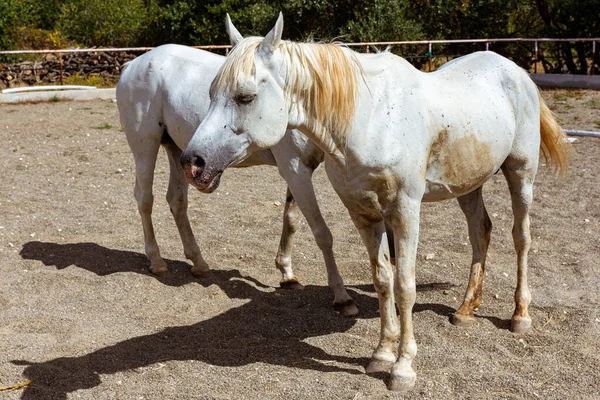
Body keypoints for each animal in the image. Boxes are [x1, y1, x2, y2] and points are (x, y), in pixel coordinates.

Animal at [116, 42, 356, 314]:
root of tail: (133, 64)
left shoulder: (299, 172)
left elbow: (291, 220)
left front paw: (287, 274)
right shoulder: (295, 169)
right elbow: (321, 233)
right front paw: (342, 297)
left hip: (178, 152)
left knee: (177, 201)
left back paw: (199, 263)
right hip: (145, 145)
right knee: (144, 199)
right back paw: (156, 261)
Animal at [180, 14, 568, 390]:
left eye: (245, 97)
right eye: (211, 93)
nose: (192, 162)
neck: (369, 120)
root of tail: (516, 72)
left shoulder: (406, 210)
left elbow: (405, 285)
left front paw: (403, 368)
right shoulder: (363, 213)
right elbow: (383, 279)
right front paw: (382, 353)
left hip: (521, 173)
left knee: (521, 238)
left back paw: (519, 315)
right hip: (469, 183)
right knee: (480, 232)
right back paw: (465, 309)